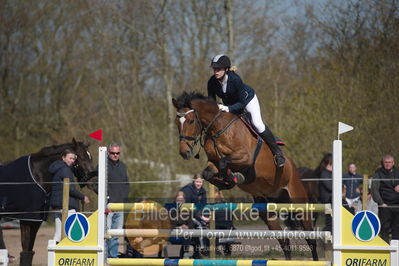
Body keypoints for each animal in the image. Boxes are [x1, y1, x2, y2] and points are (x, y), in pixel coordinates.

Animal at [172, 92, 318, 260]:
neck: (217, 129)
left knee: (311, 238)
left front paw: (234, 178)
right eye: (177, 123)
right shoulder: (212, 162)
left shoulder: (245, 157)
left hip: (298, 202)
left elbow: (224, 162)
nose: (184, 152)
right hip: (267, 211)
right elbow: (208, 172)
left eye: (190, 121)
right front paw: (226, 182)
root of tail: (293, 167)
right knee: (284, 241)